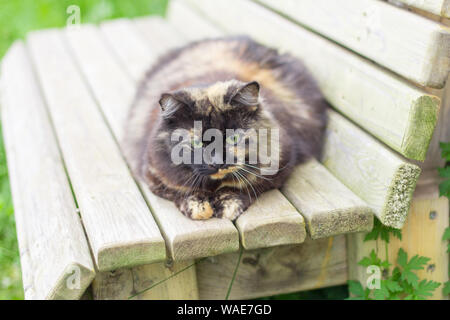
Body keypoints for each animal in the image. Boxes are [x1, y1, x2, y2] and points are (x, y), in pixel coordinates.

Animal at [125, 35, 328, 220]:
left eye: (233, 138)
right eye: (196, 143)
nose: (217, 162)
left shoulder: (281, 165)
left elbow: (241, 186)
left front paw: (227, 204)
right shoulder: (153, 175)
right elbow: (182, 191)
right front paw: (199, 206)